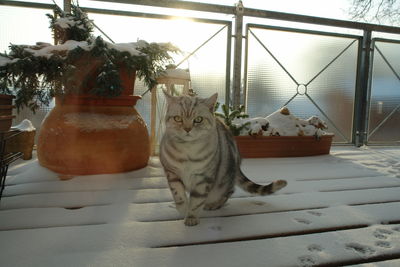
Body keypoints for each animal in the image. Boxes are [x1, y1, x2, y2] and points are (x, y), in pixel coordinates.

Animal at [159, 92, 288, 226]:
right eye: (177, 118)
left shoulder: (204, 177)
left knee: (229, 191)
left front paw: (191, 217)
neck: (187, 151)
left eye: (198, 119)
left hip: (222, 182)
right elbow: (178, 195)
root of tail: (237, 165)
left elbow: (196, 200)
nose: (187, 129)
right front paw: (183, 210)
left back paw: (213, 204)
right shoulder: (171, 173)